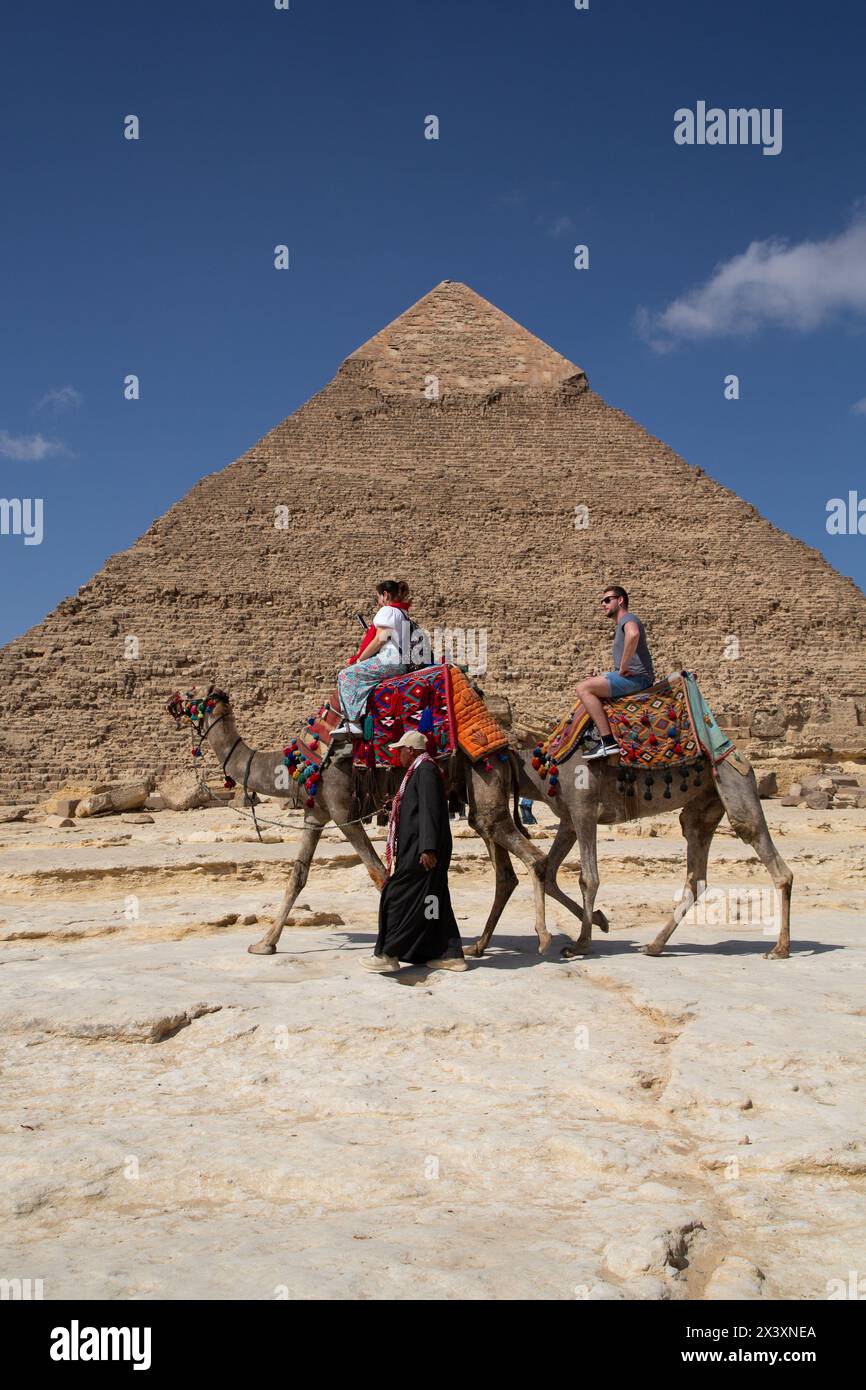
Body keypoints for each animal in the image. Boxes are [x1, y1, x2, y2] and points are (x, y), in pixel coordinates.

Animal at [167, 686, 561, 956]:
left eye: (192, 694)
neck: (293, 763)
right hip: (479, 800)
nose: (170, 702)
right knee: (504, 870)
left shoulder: (343, 812)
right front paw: (264, 942)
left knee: (533, 858)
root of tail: (506, 748)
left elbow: (378, 873)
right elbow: (297, 876)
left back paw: (543, 938)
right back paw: (479, 945)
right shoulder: (315, 813)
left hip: (486, 782)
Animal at [464, 745, 795, 961]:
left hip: (735, 785)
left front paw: (581, 944)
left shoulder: (584, 810)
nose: (475, 815)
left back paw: (779, 949)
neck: (544, 772)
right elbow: (552, 873)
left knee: (774, 861)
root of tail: (743, 757)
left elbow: (589, 878)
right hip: (703, 807)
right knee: (696, 875)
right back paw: (655, 946)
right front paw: (600, 921)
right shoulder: (568, 819)